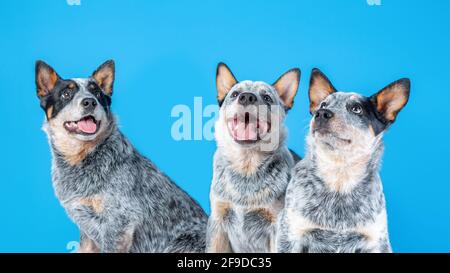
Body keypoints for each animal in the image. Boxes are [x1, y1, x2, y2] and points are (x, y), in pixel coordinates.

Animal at [35, 60, 207, 253]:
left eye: (97, 93)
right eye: (66, 93)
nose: (90, 102)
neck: (80, 159)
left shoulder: (118, 224)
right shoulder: (86, 230)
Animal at [207, 62, 302, 252]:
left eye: (267, 97)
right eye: (235, 94)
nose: (247, 97)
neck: (246, 167)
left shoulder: (277, 226)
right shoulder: (218, 222)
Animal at [276, 68, 410, 253]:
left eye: (356, 109)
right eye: (323, 105)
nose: (321, 113)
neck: (339, 178)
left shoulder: (377, 241)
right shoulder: (290, 235)